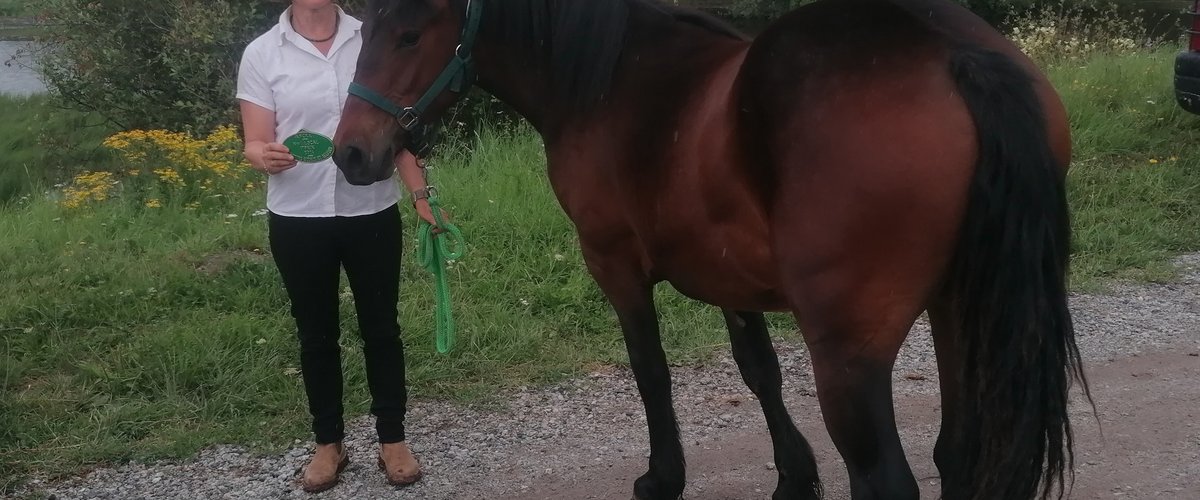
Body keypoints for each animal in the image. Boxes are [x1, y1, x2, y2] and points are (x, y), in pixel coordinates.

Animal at [333, 0, 1094, 496]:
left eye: (407, 34)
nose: (350, 153)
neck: (610, 81)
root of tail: (953, 55)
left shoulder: (614, 263)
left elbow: (651, 372)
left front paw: (663, 478)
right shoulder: (729, 273)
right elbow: (759, 369)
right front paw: (794, 477)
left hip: (852, 357)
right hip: (962, 310)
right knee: (959, 454)